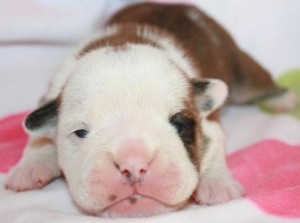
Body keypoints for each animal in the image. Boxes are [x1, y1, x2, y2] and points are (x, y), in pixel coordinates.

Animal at [4, 2, 298, 218]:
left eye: (179, 125)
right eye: (80, 133)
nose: (134, 165)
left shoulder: (209, 118)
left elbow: (213, 145)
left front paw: (217, 183)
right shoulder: (49, 96)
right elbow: (38, 136)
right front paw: (30, 167)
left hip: (238, 67)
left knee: (258, 82)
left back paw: (283, 99)